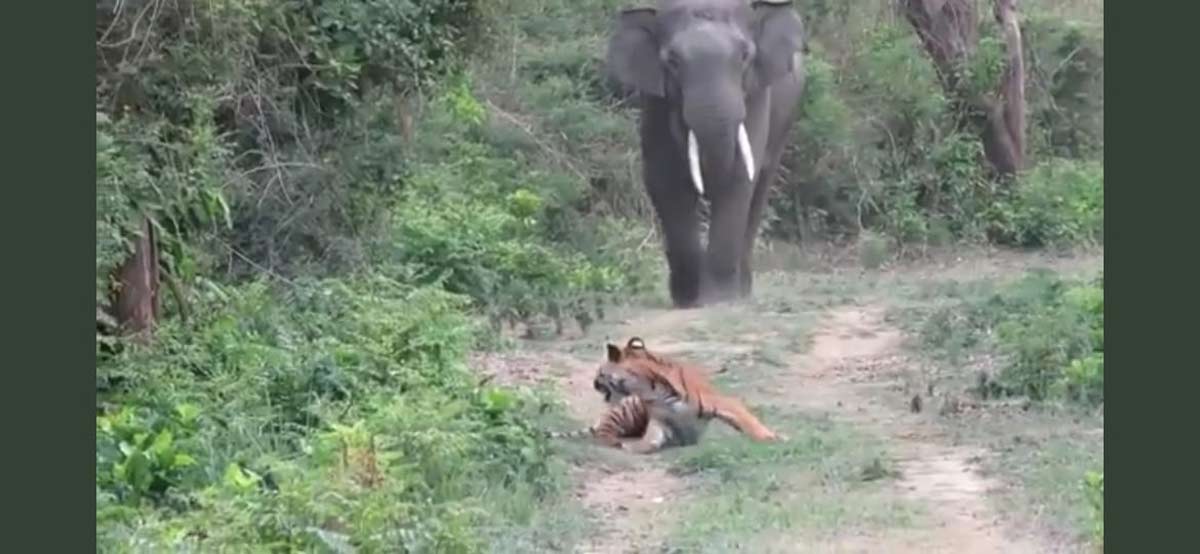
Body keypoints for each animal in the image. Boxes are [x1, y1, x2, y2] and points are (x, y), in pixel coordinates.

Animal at [551, 337, 782, 454]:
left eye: (599, 372)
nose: (594, 383)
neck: (648, 389)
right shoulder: (660, 420)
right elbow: (650, 439)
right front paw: (636, 446)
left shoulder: (723, 402)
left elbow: (749, 423)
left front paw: (773, 438)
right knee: (603, 432)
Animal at [605, 0, 806, 308]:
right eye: (672, 61)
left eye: (745, 55)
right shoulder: (655, 103)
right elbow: (664, 182)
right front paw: (688, 300)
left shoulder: (756, 96)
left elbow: (737, 180)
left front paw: (718, 300)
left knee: (759, 190)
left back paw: (743, 290)